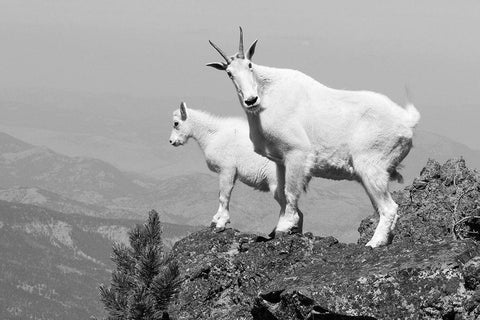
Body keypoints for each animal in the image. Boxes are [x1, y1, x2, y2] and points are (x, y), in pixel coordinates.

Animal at [170, 102, 280, 230]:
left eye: (176, 123)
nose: (171, 141)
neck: (212, 135)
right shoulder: (230, 173)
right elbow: (222, 194)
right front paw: (216, 219)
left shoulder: (226, 169)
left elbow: (224, 196)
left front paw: (221, 222)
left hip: (275, 182)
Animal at [206, 28, 420, 248]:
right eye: (229, 73)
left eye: (249, 65)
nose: (251, 100)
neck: (268, 97)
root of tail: (407, 121)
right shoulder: (280, 160)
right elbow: (282, 192)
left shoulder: (296, 152)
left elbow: (291, 191)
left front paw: (285, 226)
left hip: (371, 165)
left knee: (389, 208)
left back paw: (374, 243)